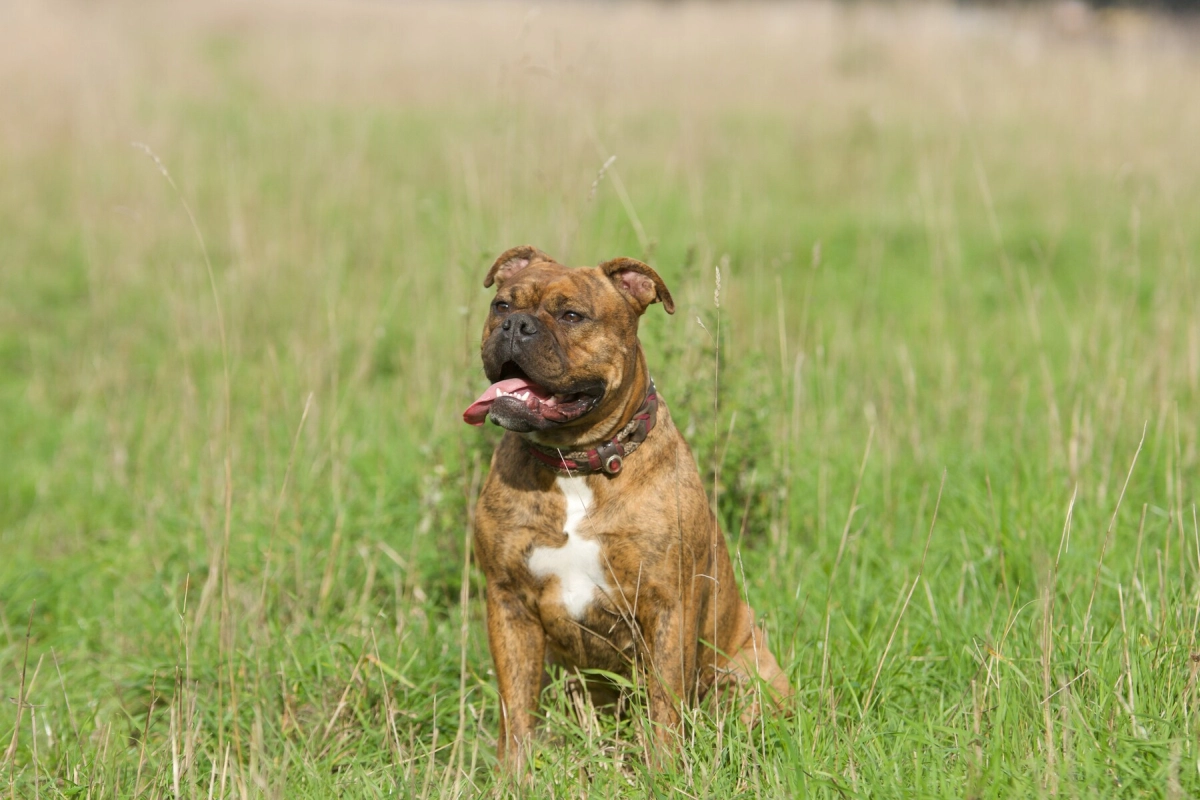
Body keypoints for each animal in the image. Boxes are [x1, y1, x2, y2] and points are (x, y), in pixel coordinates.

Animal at [463, 245, 792, 767]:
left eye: (571, 316)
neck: (576, 465)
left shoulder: (667, 605)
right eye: (502, 305)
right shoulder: (508, 601)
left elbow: (663, 704)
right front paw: (513, 776)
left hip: (748, 675)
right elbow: (515, 712)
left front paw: (664, 771)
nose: (515, 326)